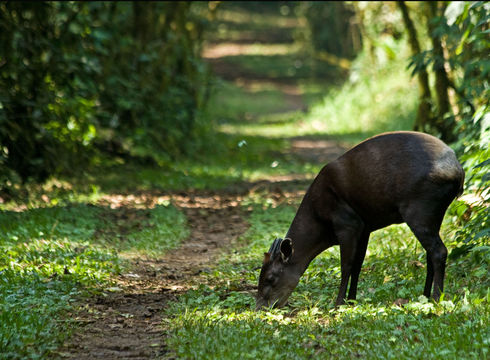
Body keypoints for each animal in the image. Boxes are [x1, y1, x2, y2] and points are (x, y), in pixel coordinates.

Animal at [256, 132, 464, 310]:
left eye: (270, 278)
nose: (260, 307)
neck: (319, 222)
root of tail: (458, 172)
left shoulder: (347, 223)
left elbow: (346, 265)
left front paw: (338, 303)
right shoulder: (365, 228)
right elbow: (358, 264)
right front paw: (351, 300)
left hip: (419, 208)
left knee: (439, 251)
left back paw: (436, 298)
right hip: (434, 213)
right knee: (430, 253)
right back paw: (425, 295)